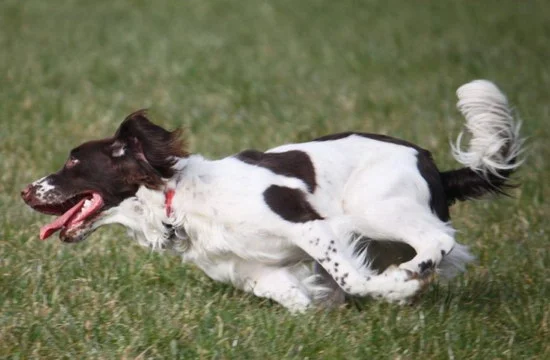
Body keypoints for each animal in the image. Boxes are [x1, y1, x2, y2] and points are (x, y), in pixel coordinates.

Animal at [21, 80, 528, 310]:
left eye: (73, 162)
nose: (25, 191)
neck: (180, 201)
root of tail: (434, 167)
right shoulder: (259, 273)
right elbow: (302, 299)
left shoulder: (313, 229)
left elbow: (352, 279)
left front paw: (394, 287)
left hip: (370, 207)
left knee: (437, 241)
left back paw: (408, 276)